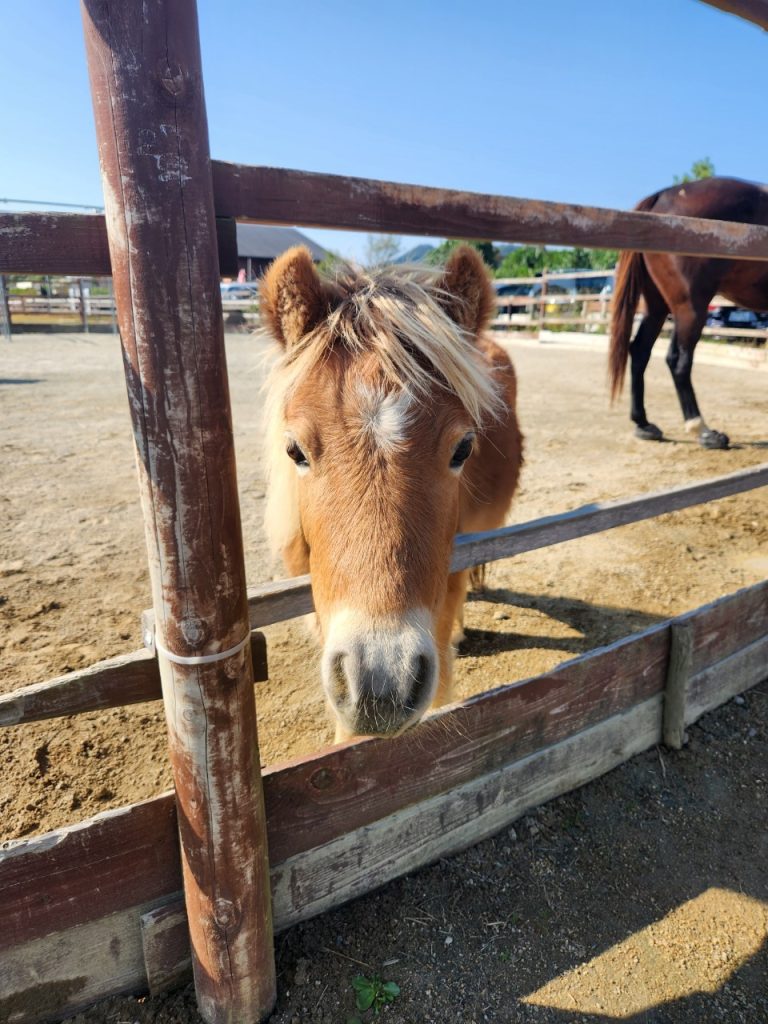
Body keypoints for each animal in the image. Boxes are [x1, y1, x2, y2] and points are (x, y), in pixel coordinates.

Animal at [609, 176, 768, 449]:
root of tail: (660, 198)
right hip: (690, 308)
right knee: (678, 362)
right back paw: (703, 431)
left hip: (660, 307)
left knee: (640, 351)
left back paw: (643, 424)